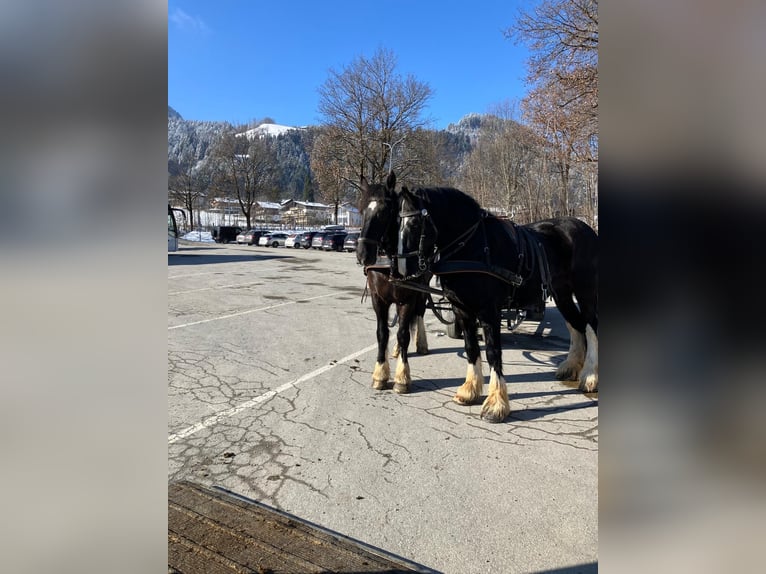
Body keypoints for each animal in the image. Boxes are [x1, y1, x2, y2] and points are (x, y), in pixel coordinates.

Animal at [356, 172, 430, 394]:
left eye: (384, 212)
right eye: (361, 210)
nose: (363, 254)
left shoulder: (408, 297)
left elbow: (404, 333)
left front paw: (402, 377)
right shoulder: (378, 298)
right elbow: (382, 333)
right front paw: (380, 373)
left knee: (419, 313)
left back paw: (420, 343)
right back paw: (396, 350)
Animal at [395, 184, 598, 423]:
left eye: (415, 223)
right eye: (397, 223)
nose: (401, 269)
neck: (473, 246)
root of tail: (586, 229)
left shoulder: (488, 311)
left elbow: (493, 352)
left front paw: (496, 405)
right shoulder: (462, 310)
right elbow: (471, 348)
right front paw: (469, 391)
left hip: (585, 292)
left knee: (591, 326)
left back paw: (590, 377)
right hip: (562, 294)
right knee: (576, 325)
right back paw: (571, 367)